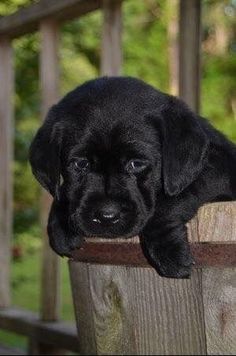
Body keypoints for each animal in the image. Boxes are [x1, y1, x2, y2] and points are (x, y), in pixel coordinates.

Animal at [30, 77, 236, 278]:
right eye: (81, 164)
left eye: (136, 164)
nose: (107, 216)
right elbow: (63, 191)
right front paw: (61, 222)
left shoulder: (217, 169)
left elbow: (169, 202)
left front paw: (169, 252)